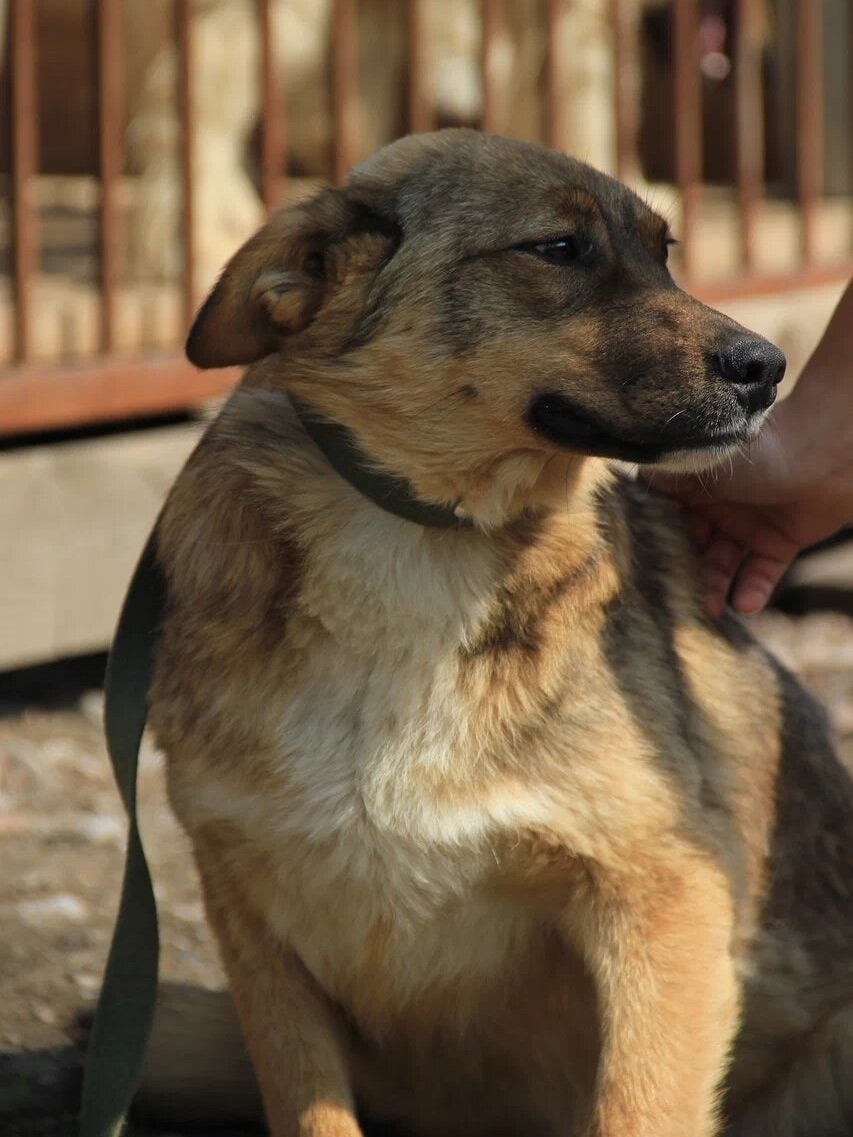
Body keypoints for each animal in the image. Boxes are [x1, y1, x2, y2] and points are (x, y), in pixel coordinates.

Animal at [145, 131, 853, 1137]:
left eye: (664, 253)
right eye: (558, 249)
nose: (768, 367)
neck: (425, 537)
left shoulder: (663, 900)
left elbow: (637, 1108)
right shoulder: (254, 926)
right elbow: (311, 1112)